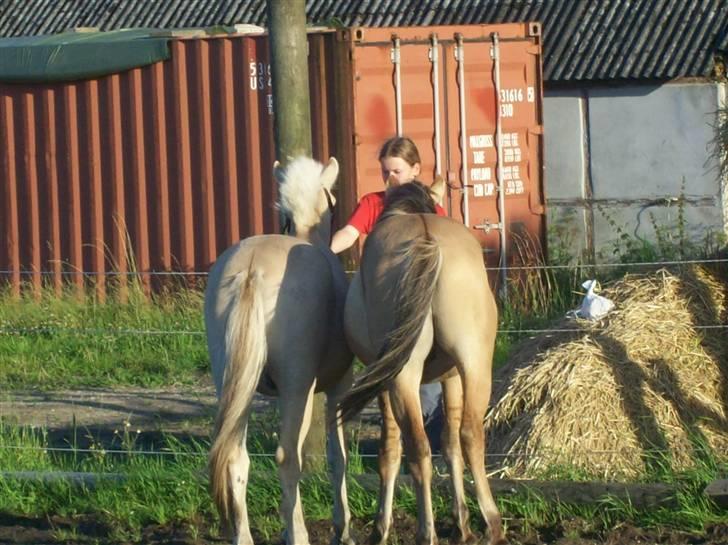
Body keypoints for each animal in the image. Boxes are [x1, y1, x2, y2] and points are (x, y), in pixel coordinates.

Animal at [205, 157, 356, 544]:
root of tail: (250, 271)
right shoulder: (338, 387)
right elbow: (338, 457)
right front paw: (342, 528)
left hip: (230, 385)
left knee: (235, 458)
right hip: (296, 388)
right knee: (288, 457)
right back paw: (299, 534)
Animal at [342, 182, 506, 544]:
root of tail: (426, 238)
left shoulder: (383, 387)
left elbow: (390, 450)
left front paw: (380, 527)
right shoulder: (452, 378)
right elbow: (451, 443)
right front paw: (462, 523)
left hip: (402, 379)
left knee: (418, 449)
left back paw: (425, 531)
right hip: (475, 365)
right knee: (471, 434)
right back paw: (491, 523)